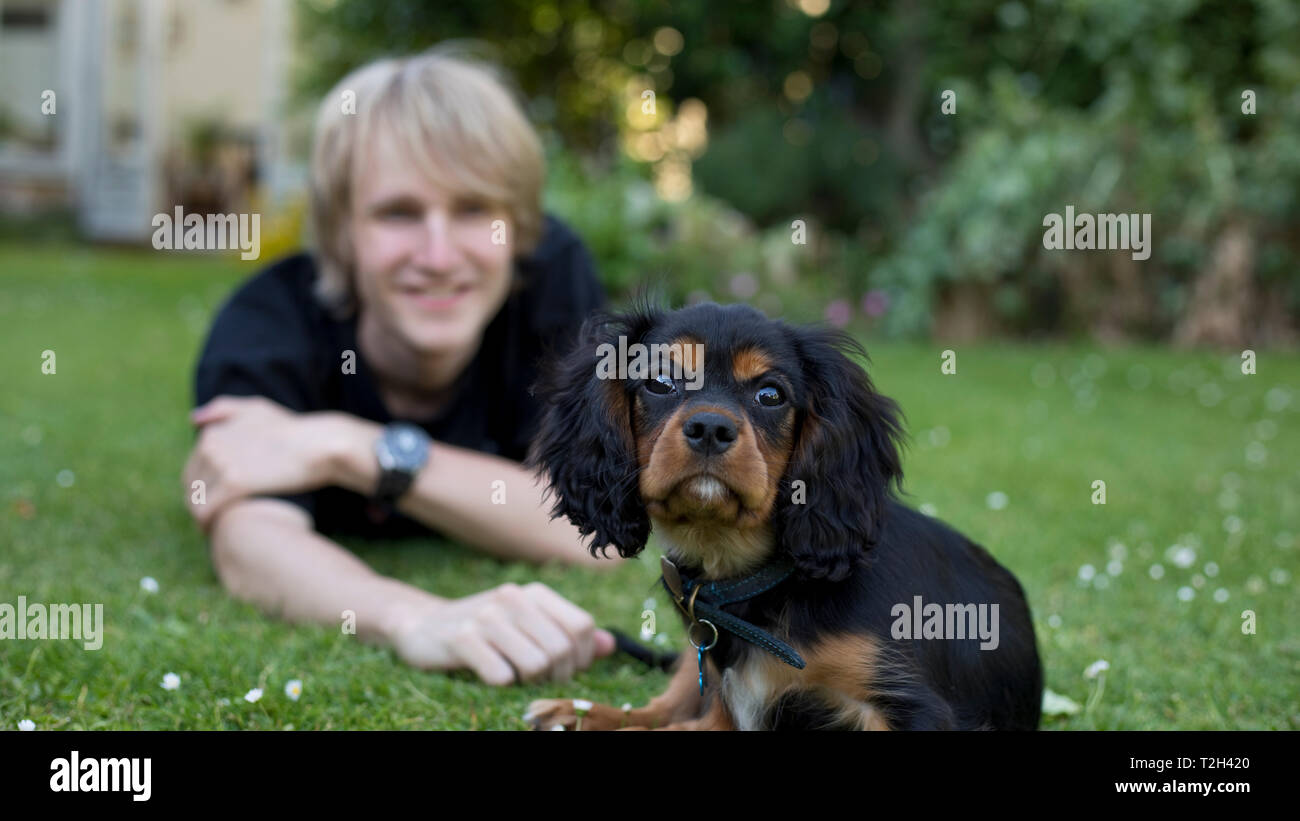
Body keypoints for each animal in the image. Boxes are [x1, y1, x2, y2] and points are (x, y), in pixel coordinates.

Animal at [522, 301, 1040, 732]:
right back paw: (576, 712)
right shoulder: (727, 707)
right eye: (659, 382)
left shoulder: (908, 708)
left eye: (770, 395)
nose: (710, 427)